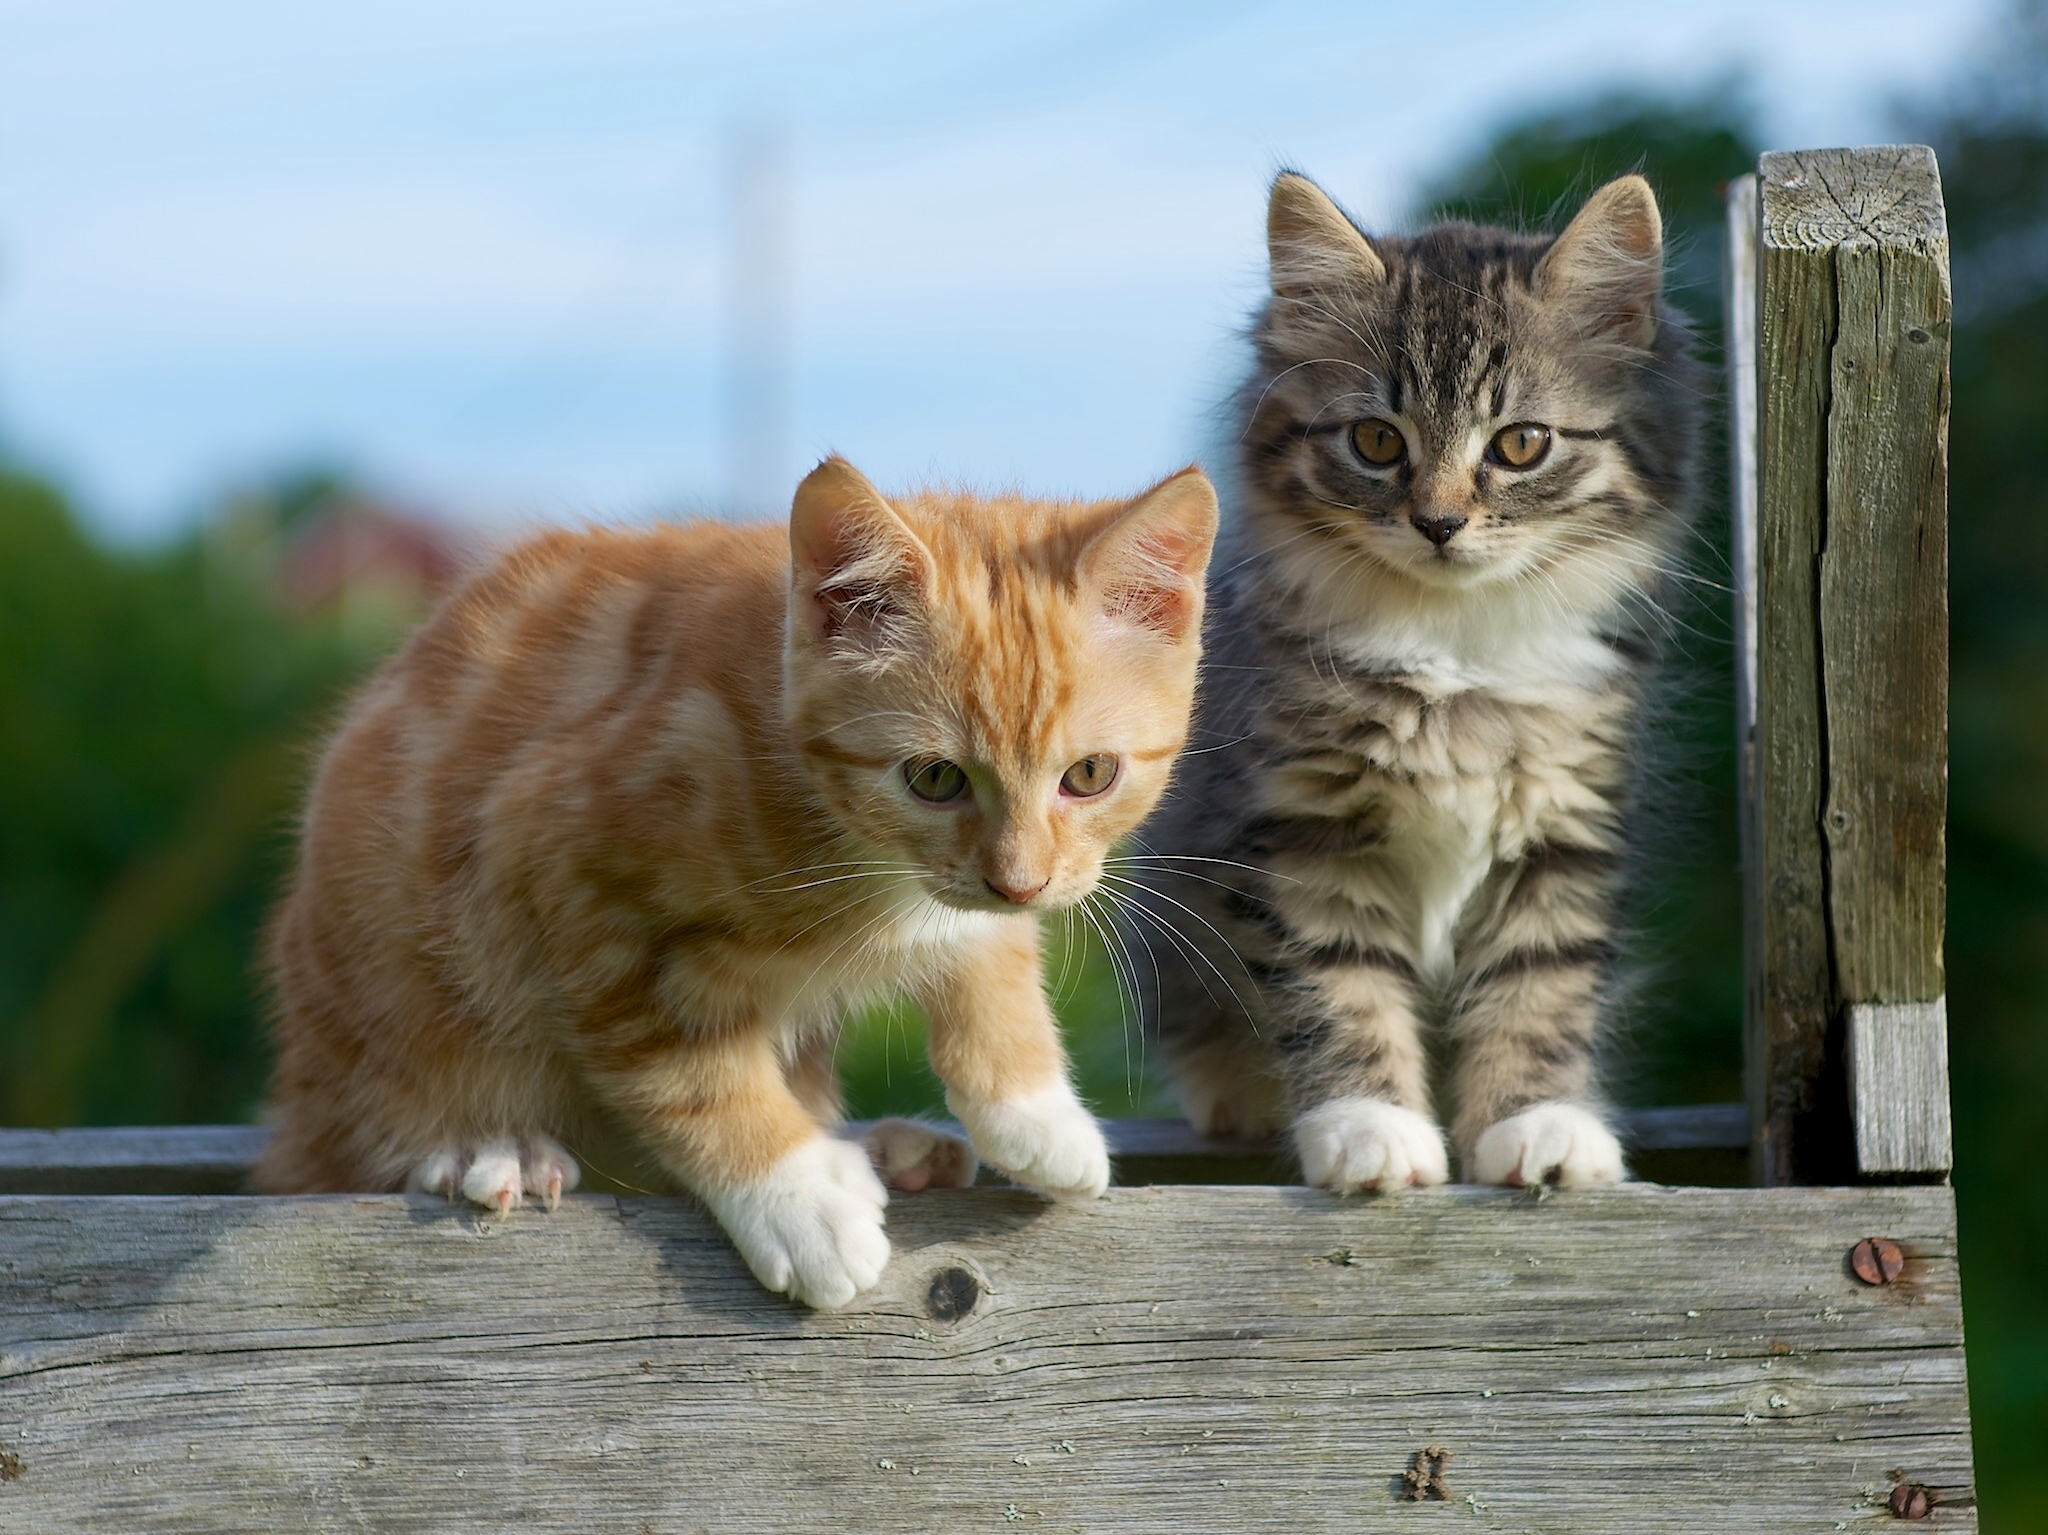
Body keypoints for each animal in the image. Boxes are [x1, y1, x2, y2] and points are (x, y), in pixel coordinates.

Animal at [256, 456, 1212, 1309]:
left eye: (1089, 774)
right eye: (935, 778)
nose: (1018, 881)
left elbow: (988, 948)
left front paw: (1036, 1110)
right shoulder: (559, 858)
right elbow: (684, 1068)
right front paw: (796, 1197)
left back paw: (889, 1148)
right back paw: (493, 1150)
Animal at [1146, 173, 1703, 1195]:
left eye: (1521, 444)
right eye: (1375, 440)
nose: (1439, 523)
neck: (1456, 648)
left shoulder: (1565, 826)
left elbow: (1540, 989)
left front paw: (1540, 1123)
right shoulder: (1302, 826)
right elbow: (1339, 986)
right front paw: (1371, 1130)